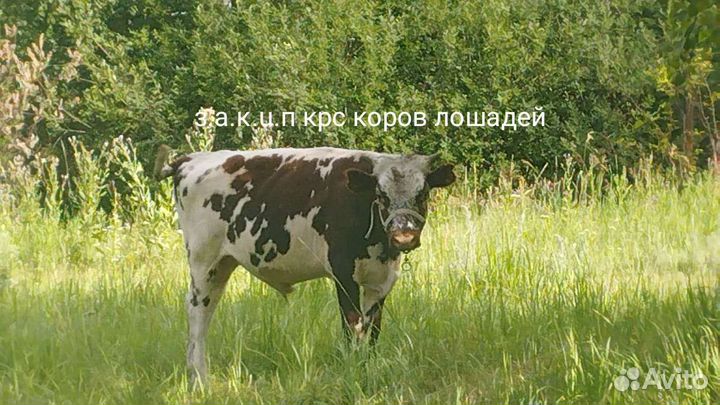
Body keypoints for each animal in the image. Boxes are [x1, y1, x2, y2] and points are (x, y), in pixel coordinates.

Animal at [154, 147, 455, 387]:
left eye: (423, 193)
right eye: (381, 195)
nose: (403, 236)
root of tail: (192, 158)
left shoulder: (381, 281)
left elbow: (372, 330)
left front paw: (368, 367)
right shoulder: (342, 272)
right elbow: (352, 325)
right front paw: (353, 370)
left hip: (222, 264)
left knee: (209, 308)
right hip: (203, 261)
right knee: (197, 313)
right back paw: (199, 378)